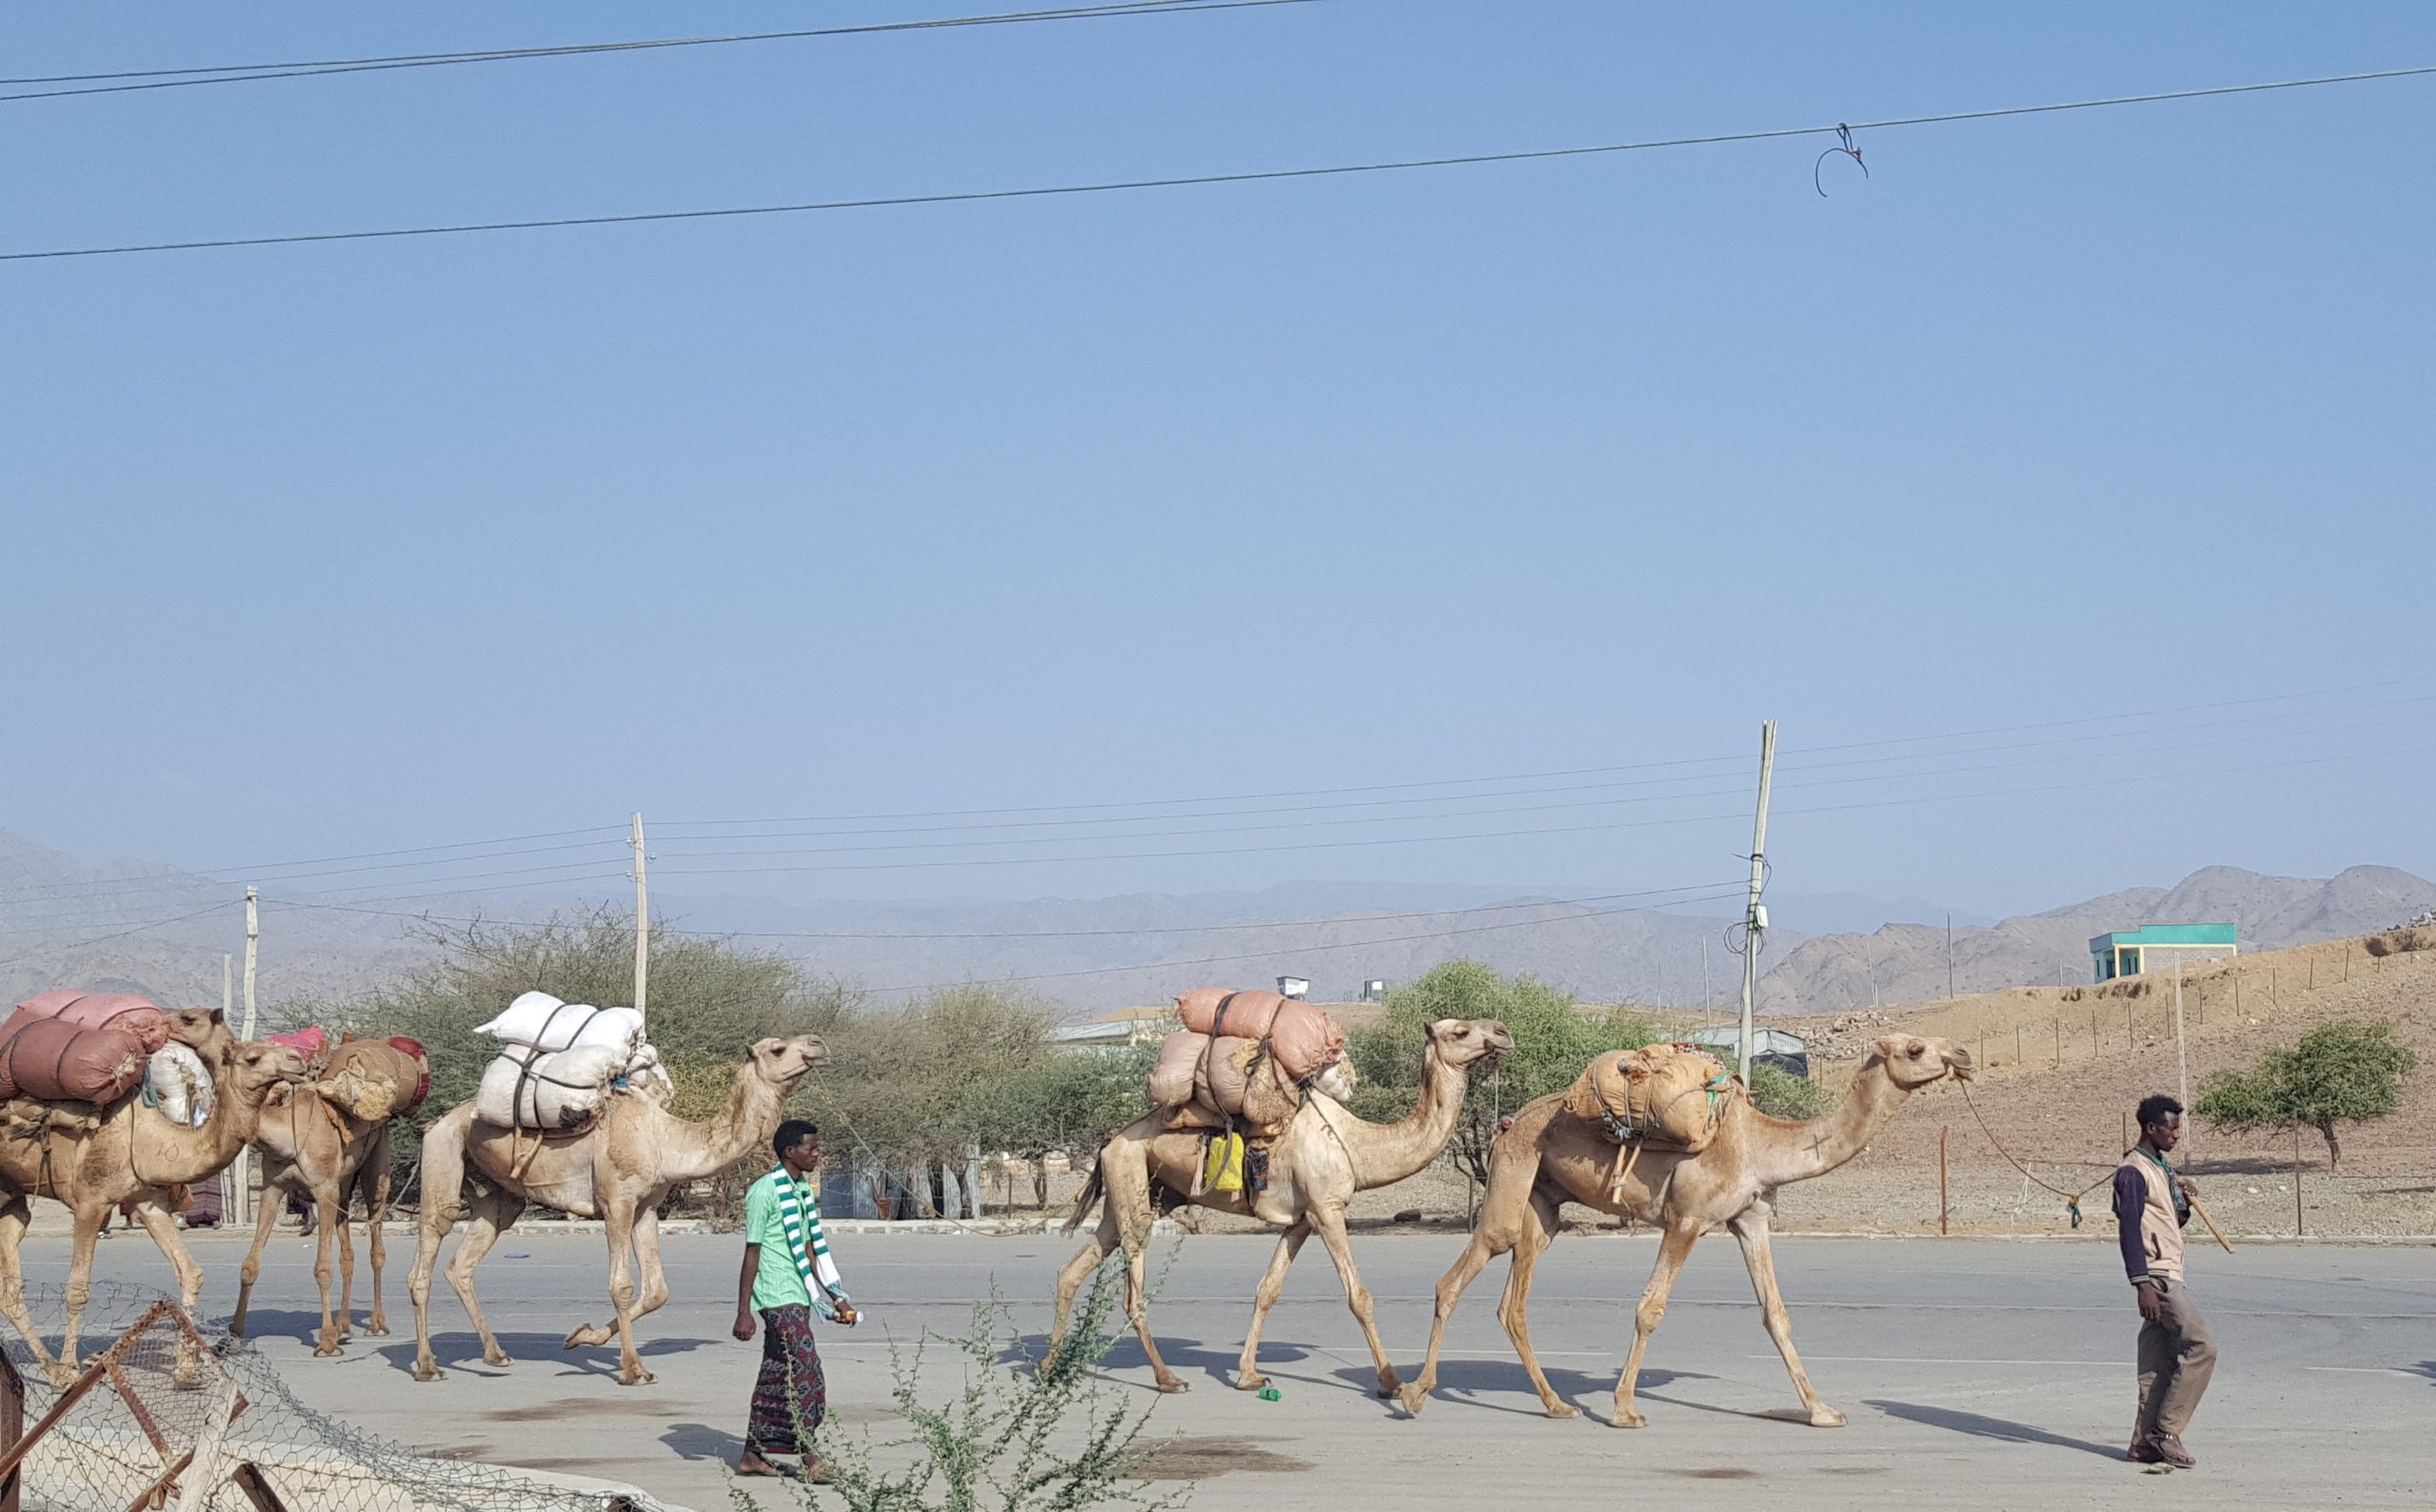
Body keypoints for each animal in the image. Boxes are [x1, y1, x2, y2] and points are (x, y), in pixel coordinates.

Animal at [0, 1012, 309, 1383]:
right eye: (253, 1057)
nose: (298, 1060)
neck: (147, 1139)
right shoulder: (90, 1203)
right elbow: (77, 1288)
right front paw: (72, 1368)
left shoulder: (150, 1204)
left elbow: (191, 1273)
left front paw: (186, 1370)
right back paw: (59, 1371)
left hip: (10, 1198)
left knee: (10, 1288)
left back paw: (50, 1368)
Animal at [414, 1031, 833, 1383]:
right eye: (778, 1049)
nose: (817, 1043)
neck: (665, 1141)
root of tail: (439, 1120)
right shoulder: (617, 1202)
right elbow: (622, 1286)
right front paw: (633, 1370)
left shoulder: (646, 1206)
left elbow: (657, 1291)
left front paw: (581, 1337)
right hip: (443, 1151)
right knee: (429, 1248)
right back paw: (427, 1366)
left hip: (500, 1195)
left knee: (464, 1260)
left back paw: (495, 1354)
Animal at [1057, 1017, 1510, 1392]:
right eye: (1461, 1031)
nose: (1503, 1032)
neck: (1356, 1145)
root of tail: (1109, 1141)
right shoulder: (1328, 1209)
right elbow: (1359, 1296)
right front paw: (1391, 1383)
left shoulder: (1301, 1220)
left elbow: (1267, 1290)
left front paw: (1248, 1375)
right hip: (1132, 1184)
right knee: (1132, 1293)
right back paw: (1167, 1379)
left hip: (1133, 1196)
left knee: (1074, 1267)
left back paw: (1051, 1368)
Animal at [1403, 1031, 1968, 1422]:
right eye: (1916, 1048)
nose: (1961, 1055)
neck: (1760, 1147)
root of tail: (1506, 1123)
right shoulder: (1687, 1218)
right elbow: (1650, 1308)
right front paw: (1624, 1409)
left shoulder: (1750, 1220)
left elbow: (1776, 1315)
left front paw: (1823, 1410)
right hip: (1512, 1175)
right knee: (1459, 1275)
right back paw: (1414, 1394)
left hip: (1543, 1204)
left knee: (1513, 1302)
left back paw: (1556, 1404)